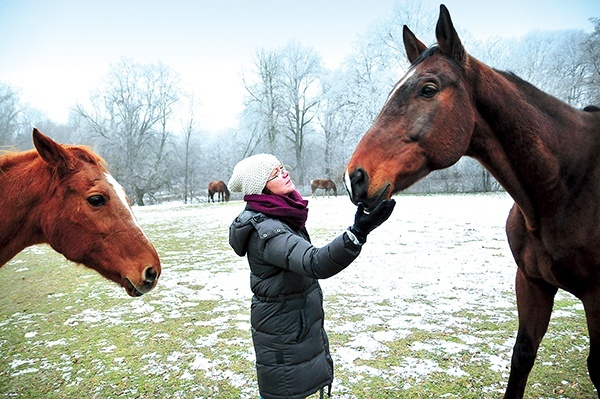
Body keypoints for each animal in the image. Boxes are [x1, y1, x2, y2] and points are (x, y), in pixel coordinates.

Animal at [342, 4, 600, 398]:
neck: (564, 185)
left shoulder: (598, 296)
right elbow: (522, 356)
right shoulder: (532, 283)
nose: (355, 177)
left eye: (428, 89)